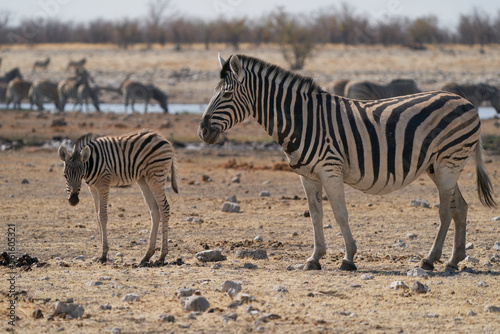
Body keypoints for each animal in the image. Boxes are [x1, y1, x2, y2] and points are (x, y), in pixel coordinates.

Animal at [57, 129, 179, 264]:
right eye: (65, 175)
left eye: (81, 175)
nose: (73, 200)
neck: (91, 162)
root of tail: (164, 139)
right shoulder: (92, 188)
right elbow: (97, 216)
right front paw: (101, 251)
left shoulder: (104, 184)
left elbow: (103, 216)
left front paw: (104, 254)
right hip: (144, 179)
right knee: (155, 211)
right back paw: (147, 256)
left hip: (156, 176)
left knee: (164, 209)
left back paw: (162, 256)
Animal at [198, 54, 496, 272]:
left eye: (225, 96)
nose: (202, 131)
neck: (302, 120)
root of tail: (467, 102)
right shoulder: (307, 176)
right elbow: (316, 215)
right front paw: (314, 258)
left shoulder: (330, 170)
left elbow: (340, 214)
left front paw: (348, 258)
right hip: (438, 166)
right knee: (461, 207)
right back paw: (453, 260)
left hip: (449, 162)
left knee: (447, 210)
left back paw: (430, 259)